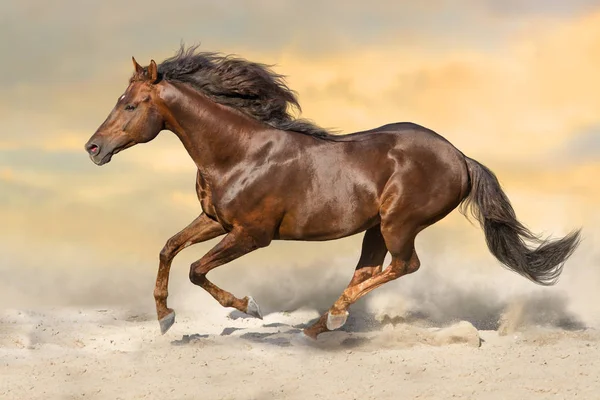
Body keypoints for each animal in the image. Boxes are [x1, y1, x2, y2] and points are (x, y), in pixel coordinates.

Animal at [83, 45, 580, 340]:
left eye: (130, 105)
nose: (93, 148)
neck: (239, 152)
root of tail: (460, 156)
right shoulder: (215, 220)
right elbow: (169, 249)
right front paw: (165, 317)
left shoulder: (251, 234)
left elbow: (196, 270)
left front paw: (248, 308)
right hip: (375, 227)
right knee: (371, 269)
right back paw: (318, 326)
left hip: (399, 223)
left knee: (404, 265)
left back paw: (332, 318)